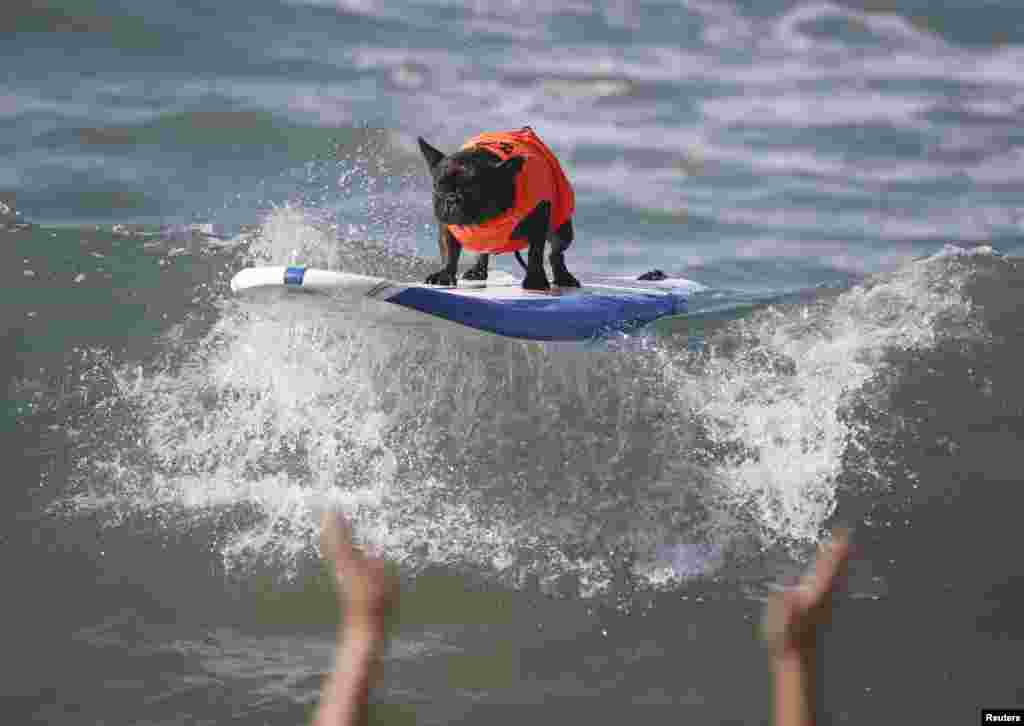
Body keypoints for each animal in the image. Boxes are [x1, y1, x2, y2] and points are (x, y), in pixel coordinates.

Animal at [413, 125, 577, 290]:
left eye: (473, 189)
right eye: (439, 186)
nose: (452, 198)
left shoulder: (539, 218)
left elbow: (535, 252)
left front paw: (535, 280)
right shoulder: (448, 227)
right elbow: (449, 251)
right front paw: (445, 275)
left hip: (561, 230)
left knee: (555, 252)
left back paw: (564, 277)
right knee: (483, 251)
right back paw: (478, 271)